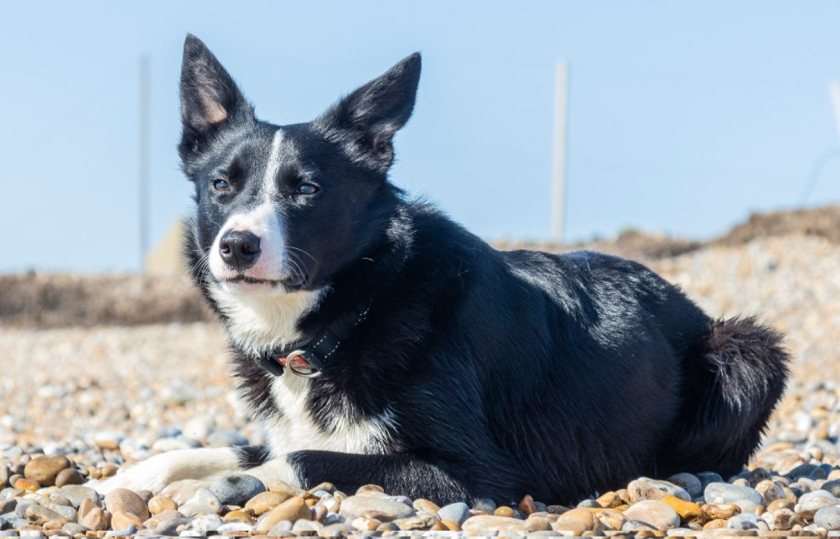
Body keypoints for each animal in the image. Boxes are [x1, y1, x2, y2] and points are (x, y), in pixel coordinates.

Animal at [97, 34, 788, 506]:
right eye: (221, 184)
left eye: (307, 189)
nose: (237, 246)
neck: (358, 304)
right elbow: (234, 446)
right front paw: (136, 475)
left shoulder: (479, 473)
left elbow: (300, 461)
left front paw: (213, 487)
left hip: (747, 349)